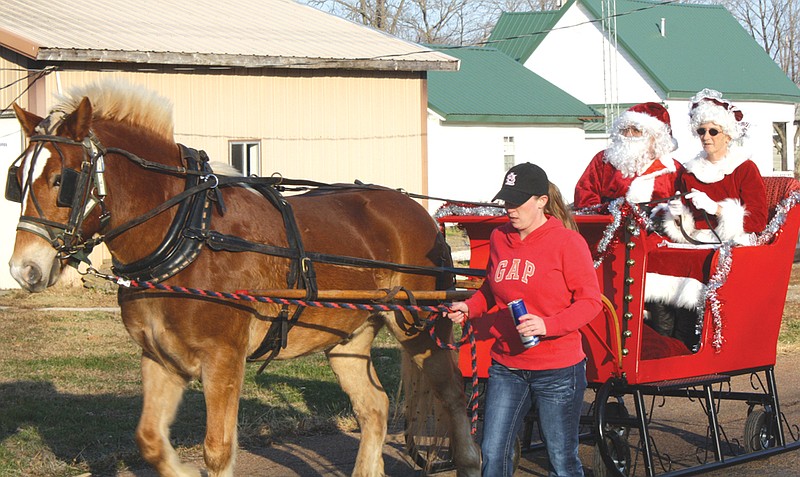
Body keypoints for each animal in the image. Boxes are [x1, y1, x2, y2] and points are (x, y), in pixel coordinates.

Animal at [6, 82, 478, 476]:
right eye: (18, 179)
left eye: (61, 180)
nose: (23, 269)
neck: (187, 233)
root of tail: (417, 210)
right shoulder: (159, 358)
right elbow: (151, 441)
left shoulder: (223, 358)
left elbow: (218, 450)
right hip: (349, 337)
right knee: (374, 407)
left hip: (422, 326)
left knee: (454, 396)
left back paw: (471, 461)